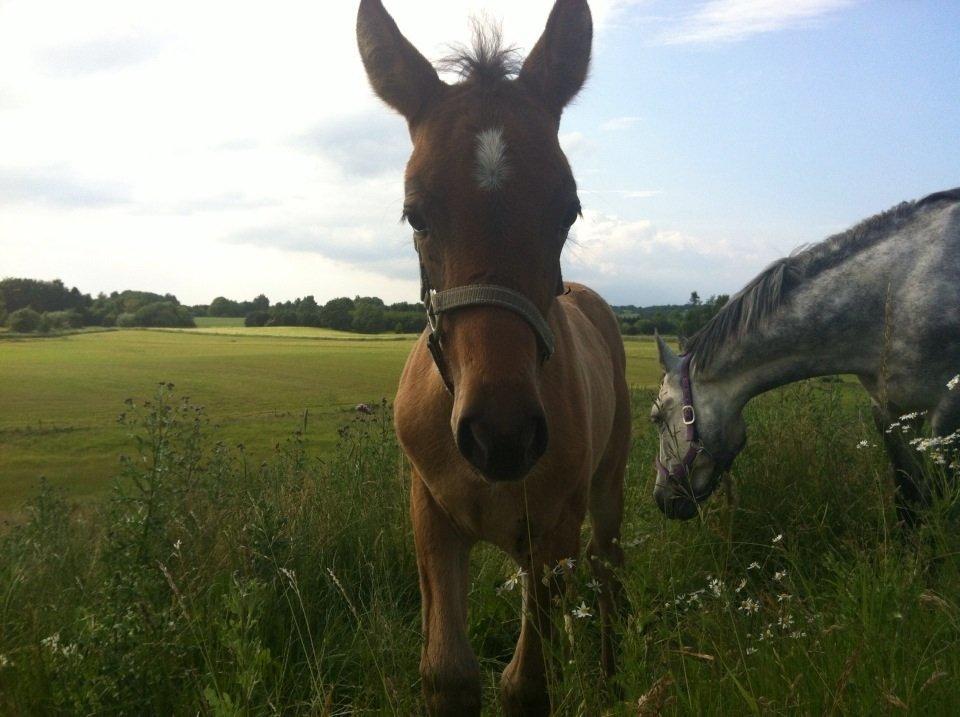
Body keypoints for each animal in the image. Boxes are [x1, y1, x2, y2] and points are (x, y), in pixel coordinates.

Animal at [356, 2, 632, 712]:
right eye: (415, 215)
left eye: (568, 211)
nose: (500, 435)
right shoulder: (430, 516)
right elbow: (448, 672)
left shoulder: (552, 527)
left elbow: (527, 680)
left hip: (605, 488)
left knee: (606, 572)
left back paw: (611, 677)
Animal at [652, 187, 960, 524]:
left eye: (656, 417)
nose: (662, 500)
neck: (895, 293)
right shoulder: (891, 413)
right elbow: (908, 498)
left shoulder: (948, 413)